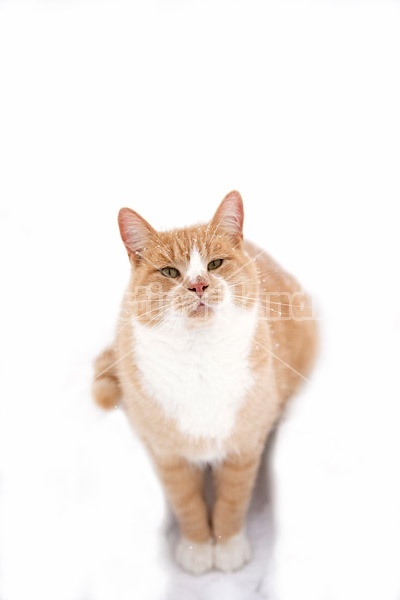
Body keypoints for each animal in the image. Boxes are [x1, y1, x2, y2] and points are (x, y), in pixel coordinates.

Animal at [92, 190, 318, 576]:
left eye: (215, 264)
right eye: (170, 272)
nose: (198, 285)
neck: (199, 362)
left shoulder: (244, 447)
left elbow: (231, 500)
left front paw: (226, 546)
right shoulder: (168, 455)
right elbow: (188, 503)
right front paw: (197, 546)